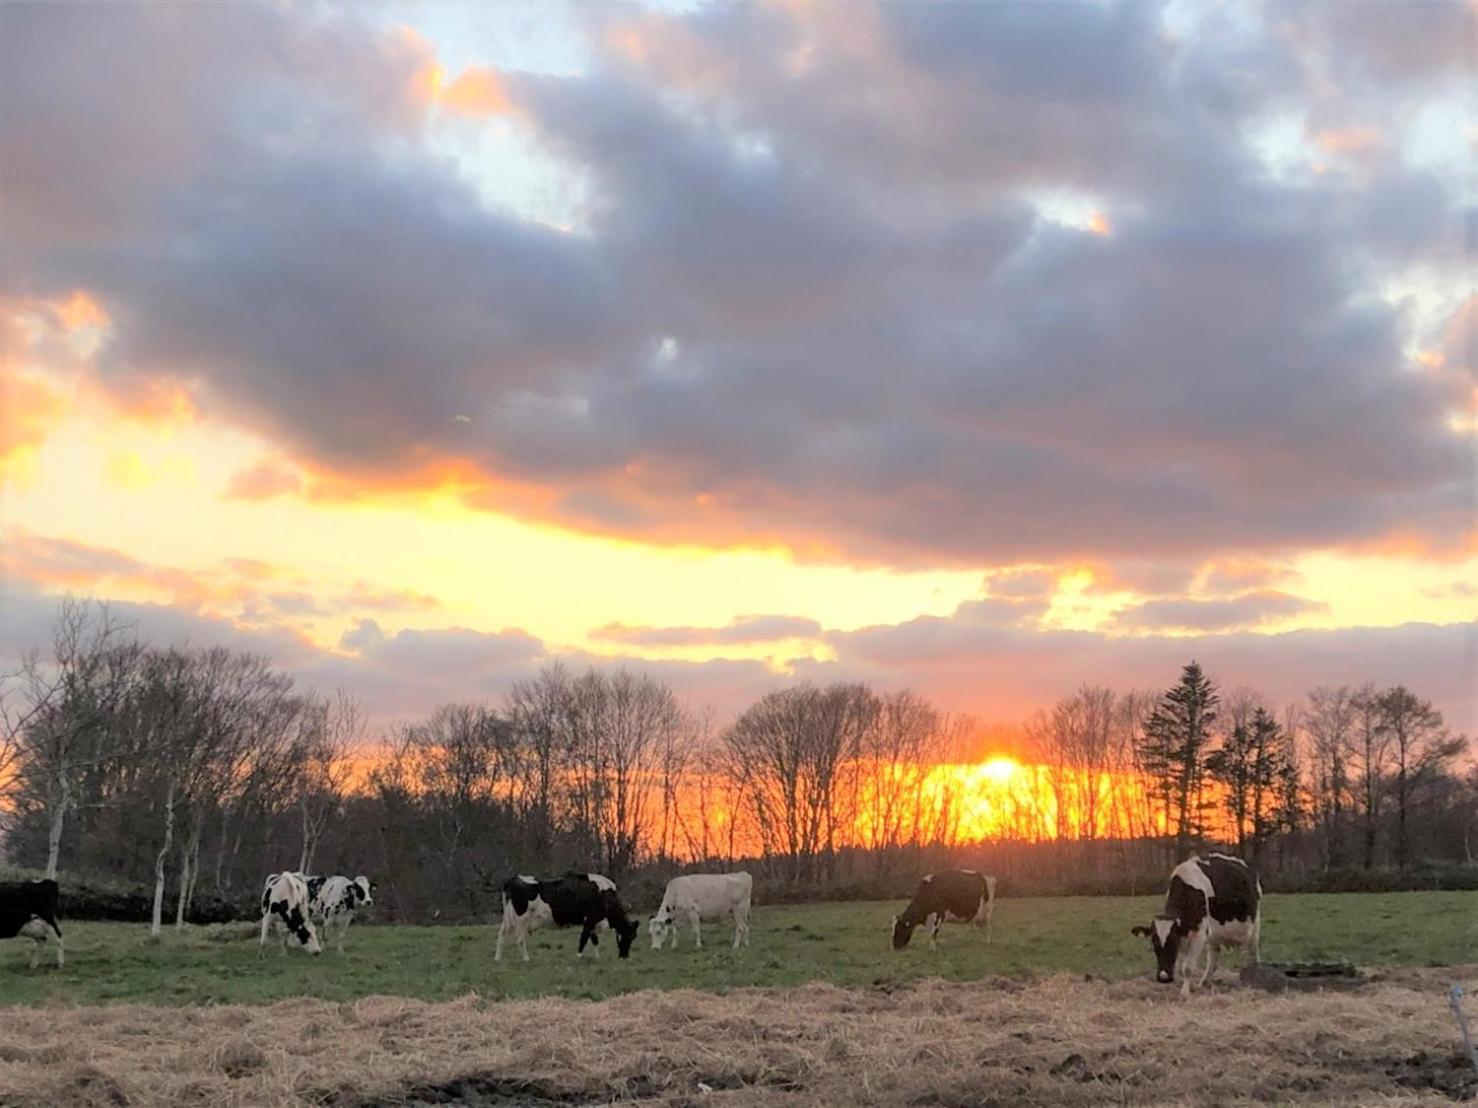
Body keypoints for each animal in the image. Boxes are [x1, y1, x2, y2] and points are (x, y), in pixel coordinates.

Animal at [493, 874, 638, 963]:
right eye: (629, 936)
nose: (625, 956)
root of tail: (514, 879)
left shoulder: (592, 921)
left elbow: (594, 940)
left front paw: (597, 958)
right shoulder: (591, 919)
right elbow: (584, 939)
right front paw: (579, 957)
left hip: (508, 919)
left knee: (501, 936)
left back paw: (498, 959)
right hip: (522, 919)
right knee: (519, 939)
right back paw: (526, 959)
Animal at [1129, 856, 1259, 1004]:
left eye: (1173, 942)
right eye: (1154, 944)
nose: (1164, 977)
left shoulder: (1199, 934)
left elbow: (1187, 967)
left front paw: (1184, 993)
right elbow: (1182, 966)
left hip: (1254, 928)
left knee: (1252, 957)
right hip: (1214, 937)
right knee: (1213, 962)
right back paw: (1202, 984)